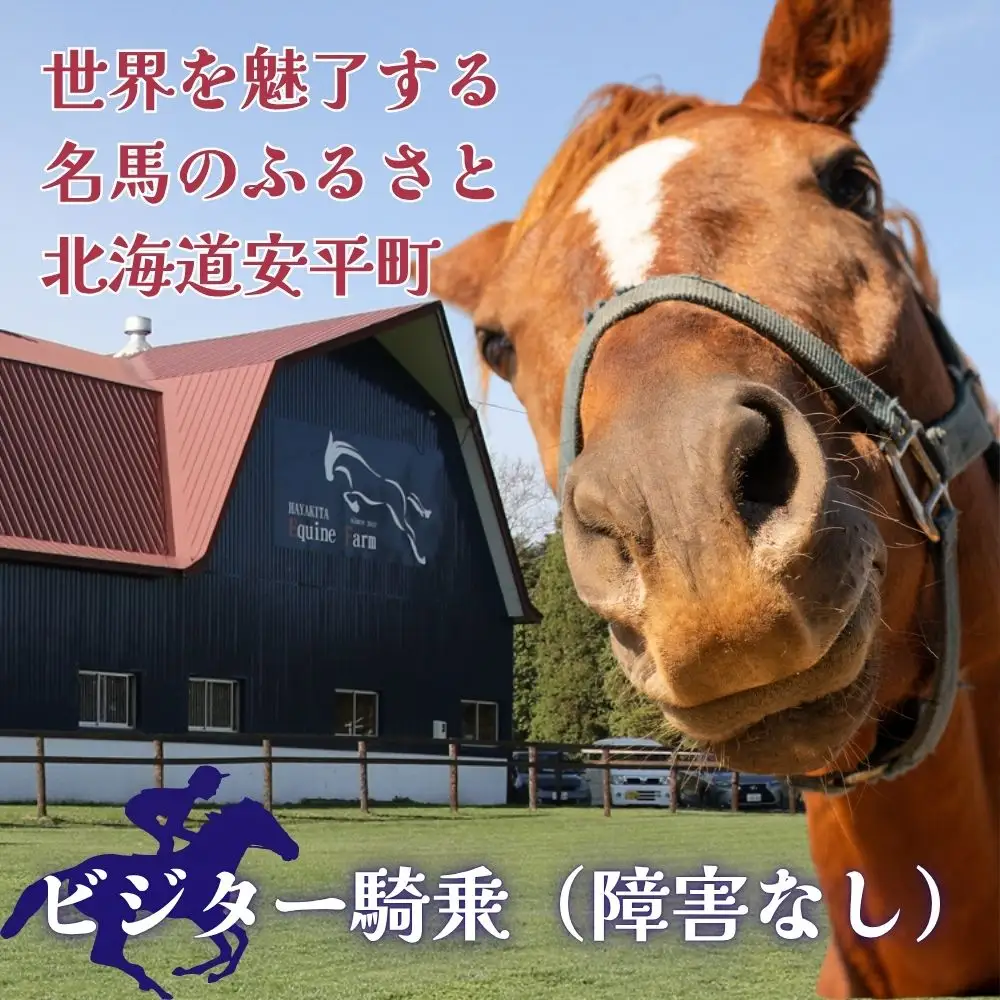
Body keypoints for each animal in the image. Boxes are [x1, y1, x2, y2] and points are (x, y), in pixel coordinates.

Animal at [1, 797, 299, 999]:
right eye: (266, 824)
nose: (293, 849)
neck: (206, 861)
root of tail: (76, 870)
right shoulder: (201, 914)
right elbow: (228, 947)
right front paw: (195, 972)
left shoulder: (210, 914)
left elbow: (239, 940)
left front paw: (208, 973)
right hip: (119, 915)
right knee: (105, 954)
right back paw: (158, 988)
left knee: (106, 955)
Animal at [323, 434, 434, 564]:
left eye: (329, 459)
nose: (329, 478)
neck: (354, 470)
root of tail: (401, 490)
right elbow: (346, 494)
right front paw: (355, 507)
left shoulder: (356, 491)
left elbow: (346, 494)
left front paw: (355, 507)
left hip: (398, 513)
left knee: (410, 532)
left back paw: (420, 558)